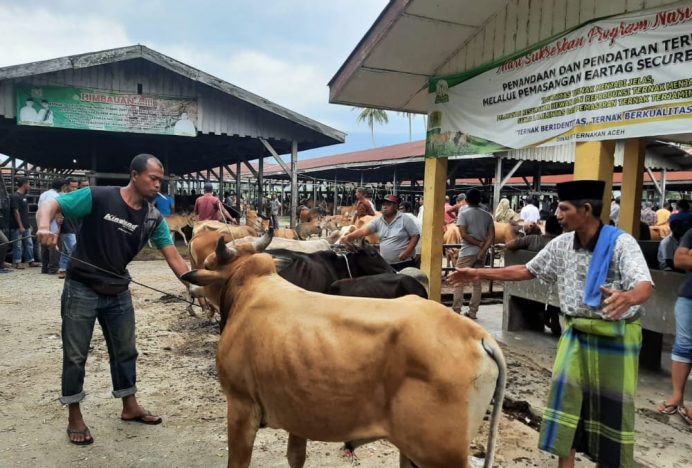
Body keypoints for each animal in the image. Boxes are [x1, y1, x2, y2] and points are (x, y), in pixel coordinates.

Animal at [184, 231, 506, 468]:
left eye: (210, 264)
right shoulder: (297, 411)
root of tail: (477, 336)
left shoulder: (240, 406)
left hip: (438, 454)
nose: (190, 282)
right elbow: (295, 457)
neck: (249, 288)